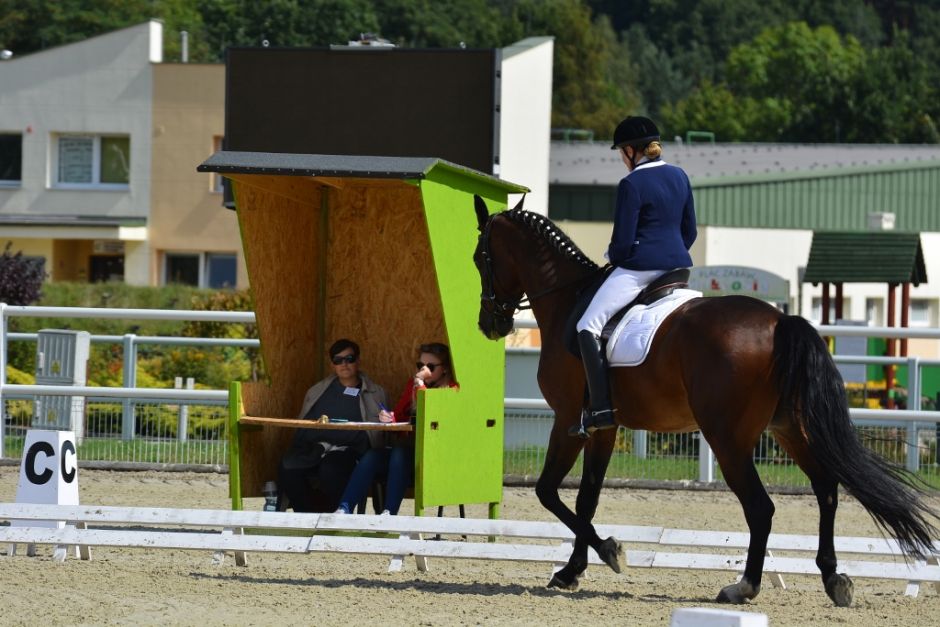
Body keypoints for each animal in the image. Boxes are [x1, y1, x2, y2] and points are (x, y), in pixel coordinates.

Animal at [471, 196, 938, 607]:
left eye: (479, 258)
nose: (490, 324)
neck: (567, 298)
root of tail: (779, 319)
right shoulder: (603, 427)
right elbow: (587, 498)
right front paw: (572, 570)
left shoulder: (567, 420)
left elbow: (548, 491)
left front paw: (608, 552)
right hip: (789, 428)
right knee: (825, 490)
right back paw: (833, 578)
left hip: (728, 438)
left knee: (761, 507)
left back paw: (743, 588)